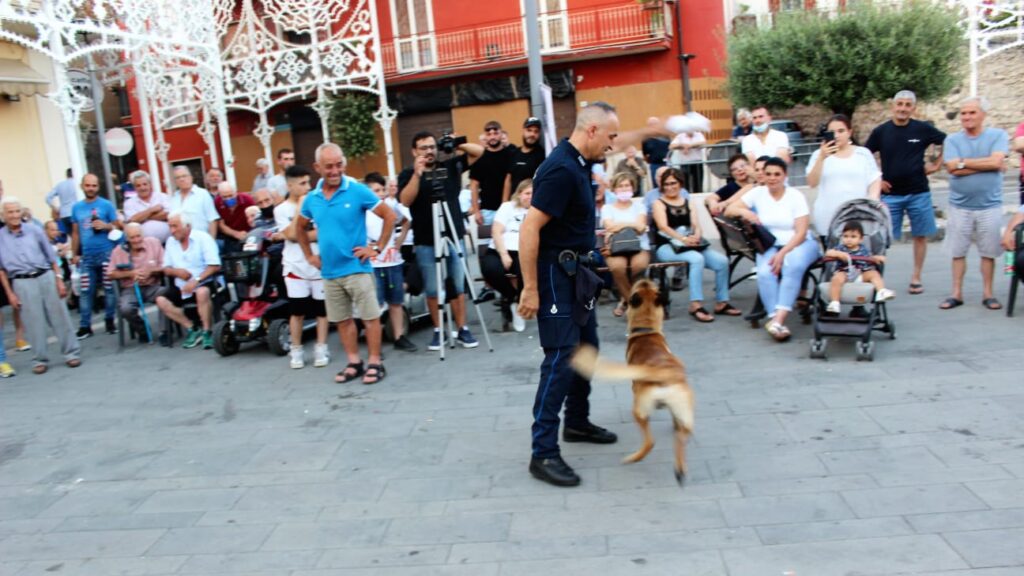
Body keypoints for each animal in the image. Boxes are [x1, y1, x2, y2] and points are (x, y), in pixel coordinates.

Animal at [573, 276, 692, 481]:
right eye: (648, 284)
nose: (645, 278)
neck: (646, 330)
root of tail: (663, 374)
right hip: (684, 410)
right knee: (682, 436)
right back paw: (680, 467)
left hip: (640, 411)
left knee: (650, 442)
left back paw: (634, 458)